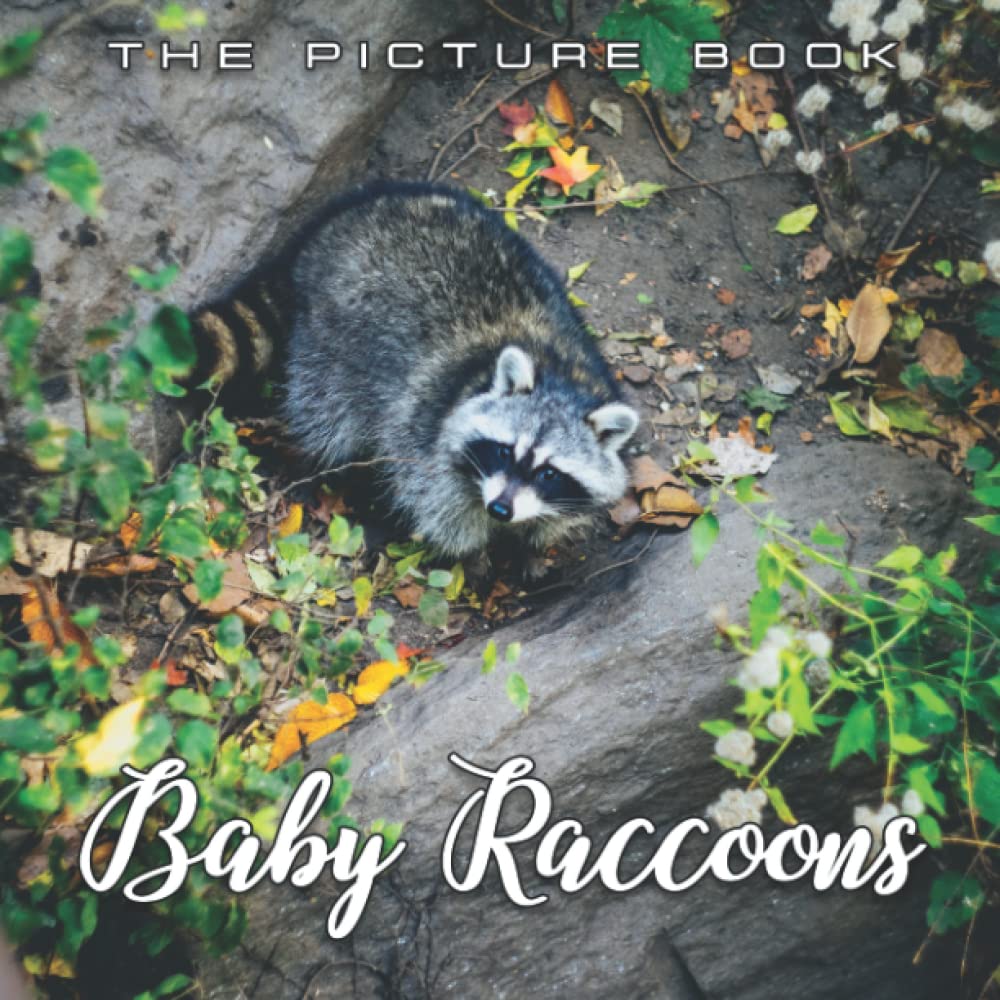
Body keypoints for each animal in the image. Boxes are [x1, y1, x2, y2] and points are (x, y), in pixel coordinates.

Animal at [192, 181, 639, 563]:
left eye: (549, 472)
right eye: (503, 450)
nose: (500, 509)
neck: (562, 376)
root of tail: (327, 234)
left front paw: (533, 542)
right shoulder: (425, 429)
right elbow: (436, 504)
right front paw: (474, 556)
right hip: (331, 341)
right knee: (328, 414)